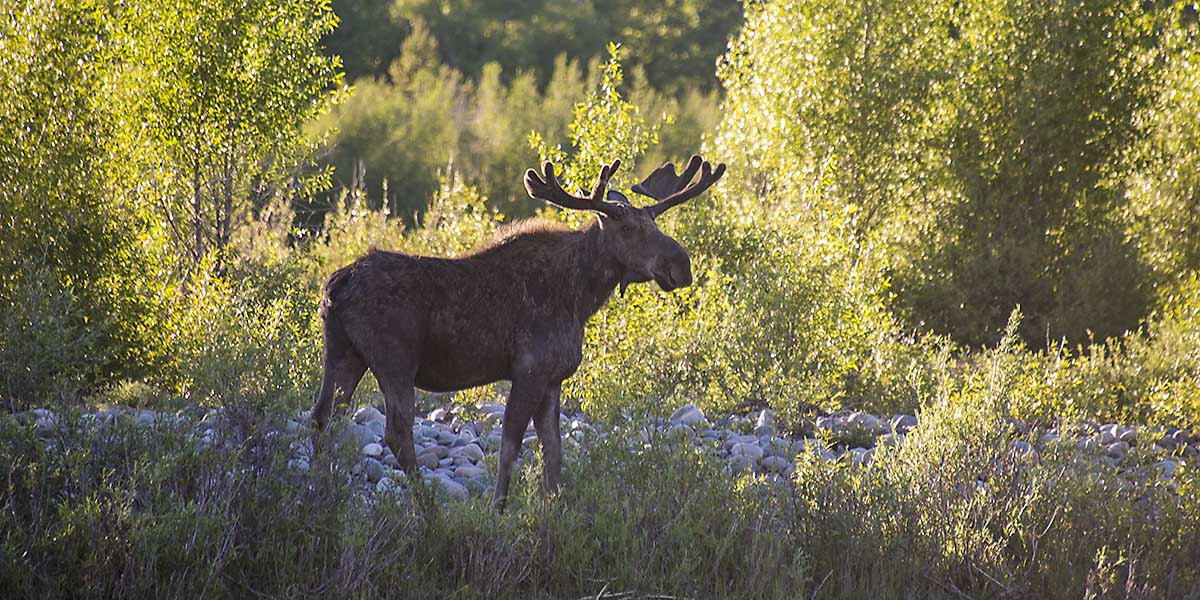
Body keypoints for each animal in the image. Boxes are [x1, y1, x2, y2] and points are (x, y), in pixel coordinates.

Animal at [311, 155, 726, 510]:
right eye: (626, 228)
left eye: (656, 224)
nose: (682, 266)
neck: (581, 297)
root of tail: (338, 283)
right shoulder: (529, 370)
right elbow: (510, 446)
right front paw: (498, 508)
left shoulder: (554, 378)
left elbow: (553, 452)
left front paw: (554, 508)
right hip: (394, 362)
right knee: (397, 432)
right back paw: (429, 510)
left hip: (344, 353)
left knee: (322, 418)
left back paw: (320, 492)